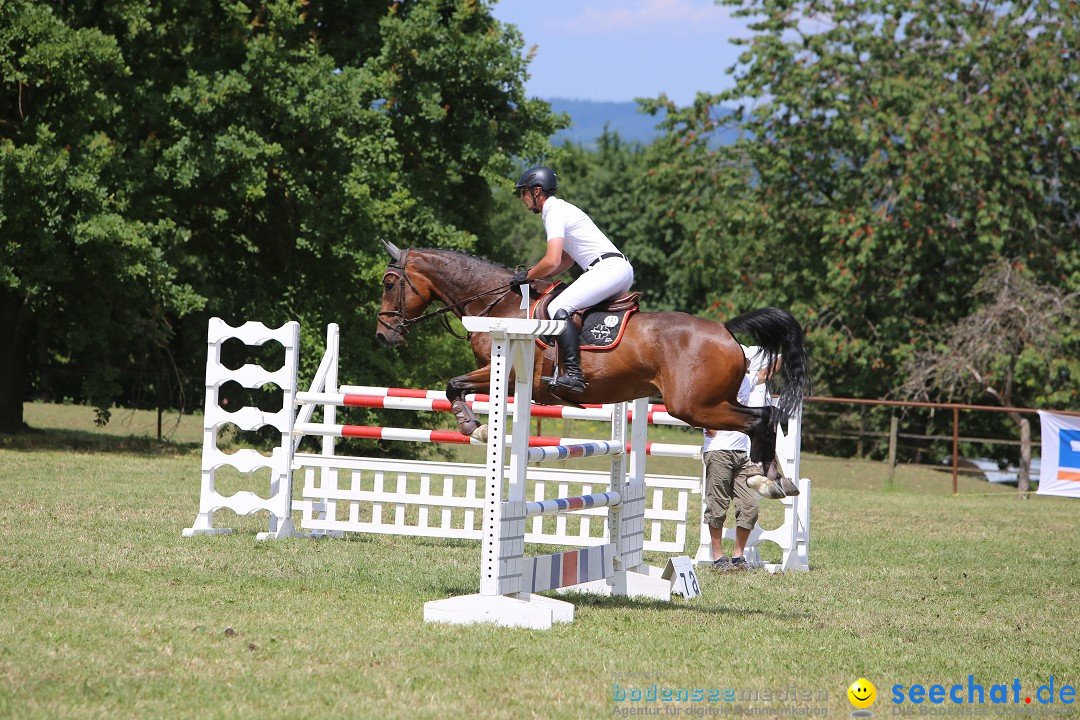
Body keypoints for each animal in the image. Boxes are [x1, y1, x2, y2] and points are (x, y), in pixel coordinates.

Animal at [380, 241, 812, 500]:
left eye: (388, 283)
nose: (383, 335)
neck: (499, 305)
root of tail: (725, 330)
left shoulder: (510, 374)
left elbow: (454, 385)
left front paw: (475, 427)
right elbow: (456, 386)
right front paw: (475, 425)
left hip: (693, 406)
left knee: (760, 418)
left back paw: (766, 479)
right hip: (710, 401)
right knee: (766, 415)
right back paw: (775, 479)